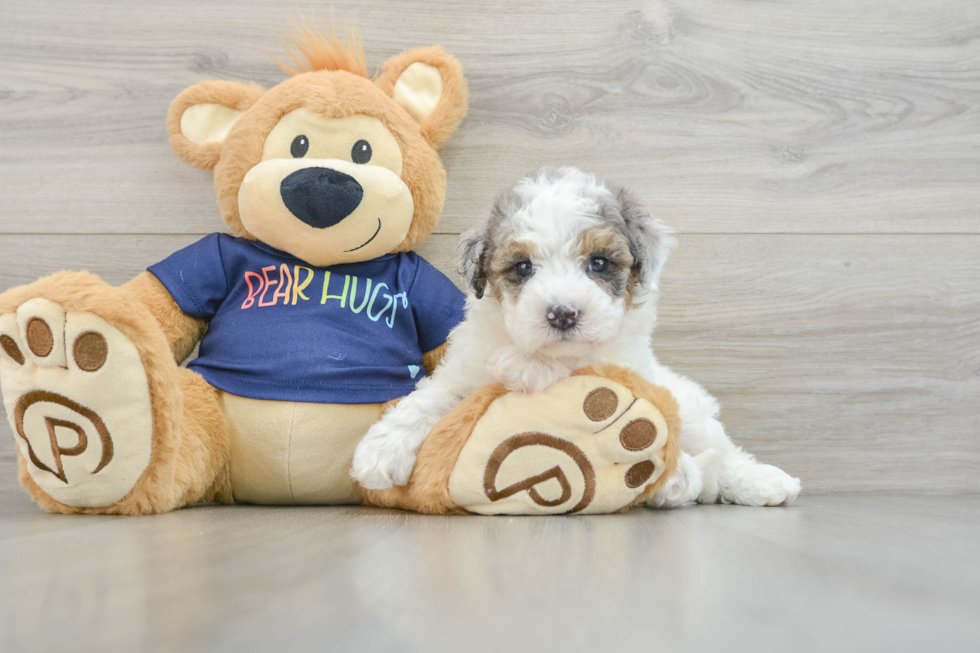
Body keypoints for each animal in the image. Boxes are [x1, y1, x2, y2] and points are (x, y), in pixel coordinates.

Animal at [356, 167, 800, 504]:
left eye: (598, 263)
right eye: (522, 267)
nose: (562, 314)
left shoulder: (615, 364)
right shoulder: (464, 372)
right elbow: (429, 400)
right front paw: (379, 451)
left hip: (690, 411)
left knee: (720, 454)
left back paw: (755, 482)